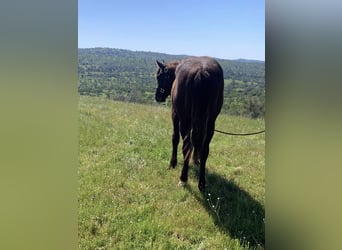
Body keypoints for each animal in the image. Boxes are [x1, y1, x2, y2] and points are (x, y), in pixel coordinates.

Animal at [155, 56, 224, 189]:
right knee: (204, 148)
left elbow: (175, 138)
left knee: (186, 145)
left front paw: (172, 163)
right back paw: (202, 182)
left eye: (159, 77)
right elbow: (196, 141)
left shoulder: (175, 114)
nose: (157, 97)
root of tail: (202, 72)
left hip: (185, 119)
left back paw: (183, 178)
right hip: (210, 123)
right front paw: (195, 159)